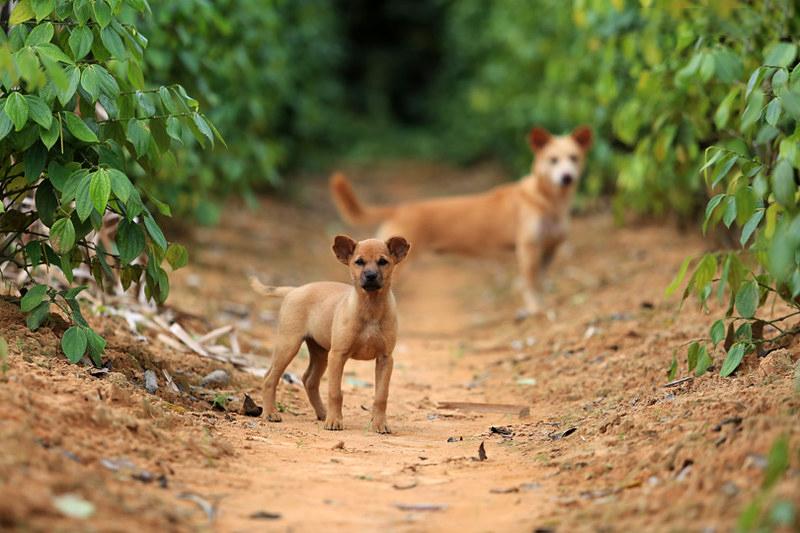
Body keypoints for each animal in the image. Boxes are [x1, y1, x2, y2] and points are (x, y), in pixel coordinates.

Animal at [253, 234, 410, 432]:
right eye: (359, 262)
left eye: (383, 262)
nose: (370, 276)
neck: (370, 308)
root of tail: (294, 290)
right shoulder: (338, 355)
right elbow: (335, 392)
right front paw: (335, 421)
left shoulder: (385, 359)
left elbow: (381, 396)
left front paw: (380, 424)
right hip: (288, 345)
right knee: (269, 378)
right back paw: (270, 413)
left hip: (320, 352)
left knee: (309, 380)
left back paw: (322, 413)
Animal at [328, 125, 592, 314]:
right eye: (553, 160)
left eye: (574, 157)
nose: (567, 177)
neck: (548, 201)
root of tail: (399, 208)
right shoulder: (528, 248)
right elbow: (530, 283)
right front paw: (536, 310)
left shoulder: (549, 250)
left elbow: (541, 282)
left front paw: (544, 305)